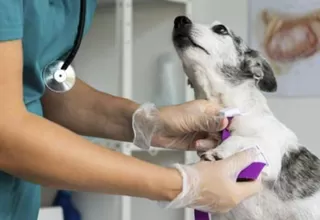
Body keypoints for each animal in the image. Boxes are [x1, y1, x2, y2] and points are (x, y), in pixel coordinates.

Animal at [172, 15, 320, 220]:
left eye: (221, 29)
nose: (180, 19)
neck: (229, 111)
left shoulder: (271, 154)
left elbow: (242, 139)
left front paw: (221, 151)